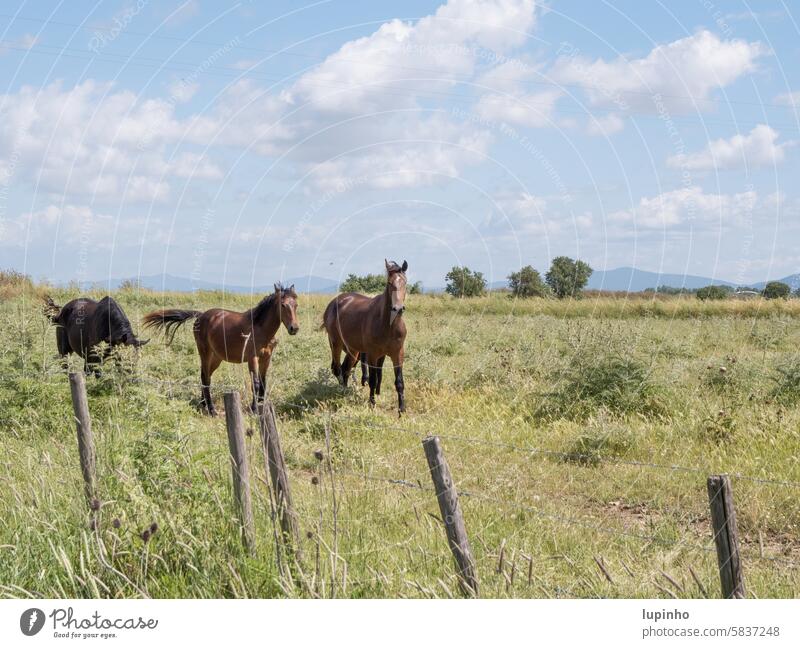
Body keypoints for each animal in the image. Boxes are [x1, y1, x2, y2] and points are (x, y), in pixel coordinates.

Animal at [142, 284, 298, 416]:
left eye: (296, 305)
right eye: (283, 305)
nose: (294, 328)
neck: (260, 328)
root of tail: (201, 315)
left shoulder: (266, 358)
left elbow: (263, 383)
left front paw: (262, 408)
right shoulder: (252, 358)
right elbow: (256, 383)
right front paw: (254, 409)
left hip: (216, 358)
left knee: (205, 375)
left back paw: (203, 403)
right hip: (204, 353)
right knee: (205, 377)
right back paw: (211, 410)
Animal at [320, 258, 406, 410]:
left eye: (405, 282)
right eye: (389, 283)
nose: (398, 308)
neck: (388, 325)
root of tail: (334, 303)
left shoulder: (398, 354)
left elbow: (399, 382)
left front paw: (401, 409)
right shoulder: (372, 354)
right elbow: (372, 379)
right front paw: (372, 403)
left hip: (353, 350)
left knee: (346, 369)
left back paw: (346, 391)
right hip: (336, 344)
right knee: (337, 369)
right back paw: (342, 392)